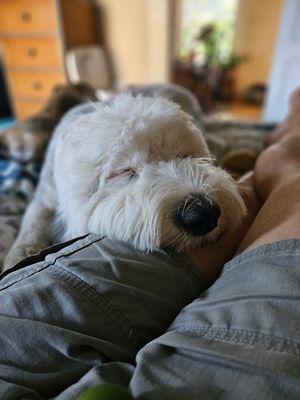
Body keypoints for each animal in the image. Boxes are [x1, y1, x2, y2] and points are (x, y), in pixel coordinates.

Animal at [4, 94, 246, 268]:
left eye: (185, 155)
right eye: (124, 171)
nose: (202, 214)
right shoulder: (45, 196)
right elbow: (32, 225)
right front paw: (18, 257)